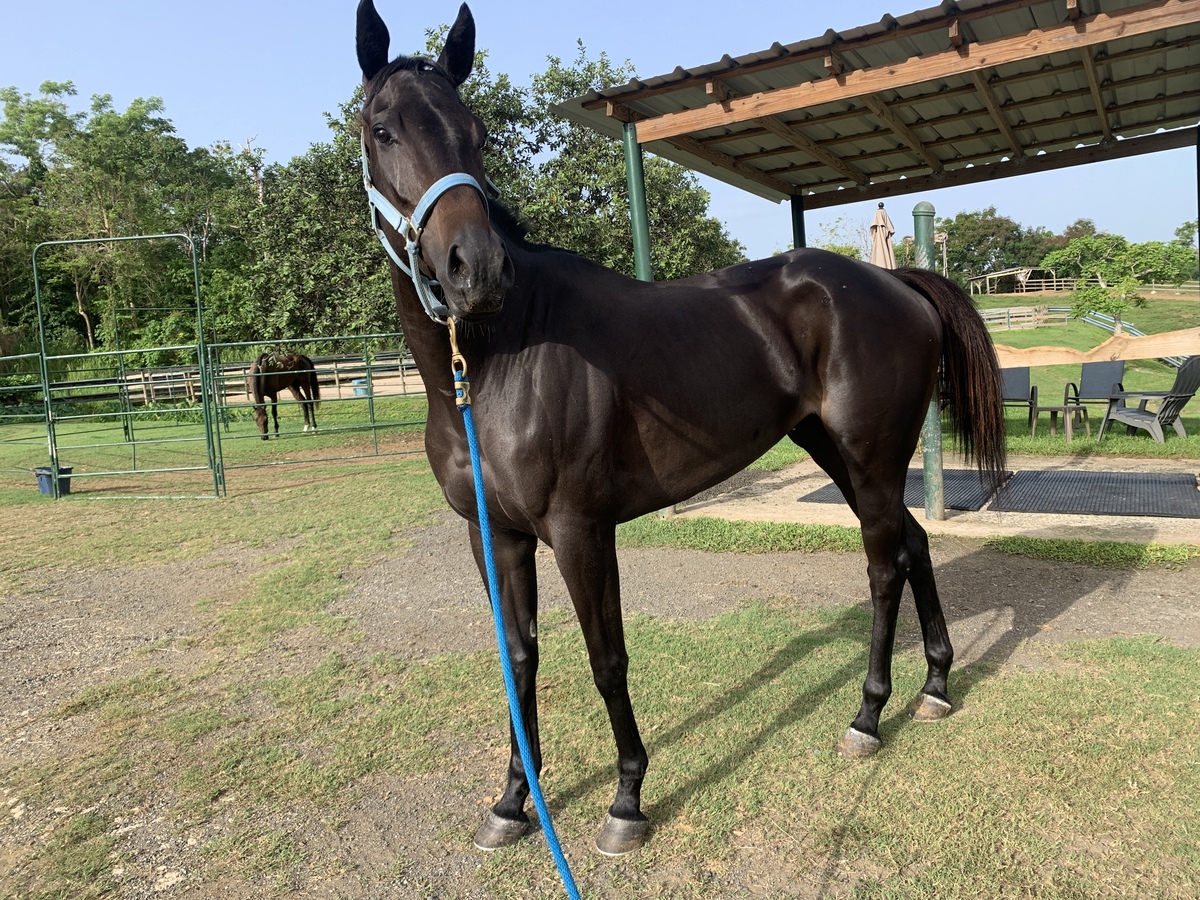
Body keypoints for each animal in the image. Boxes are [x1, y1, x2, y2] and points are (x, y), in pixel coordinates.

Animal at [356, 0, 1006, 856]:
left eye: (477, 132)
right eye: (383, 129)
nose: (476, 268)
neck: (501, 356)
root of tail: (890, 278)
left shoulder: (580, 530)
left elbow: (607, 659)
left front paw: (627, 800)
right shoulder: (495, 536)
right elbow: (519, 660)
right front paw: (511, 803)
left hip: (869, 460)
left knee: (883, 565)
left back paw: (868, 716)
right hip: (837, 451)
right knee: (916, 544)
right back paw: (934, 685)